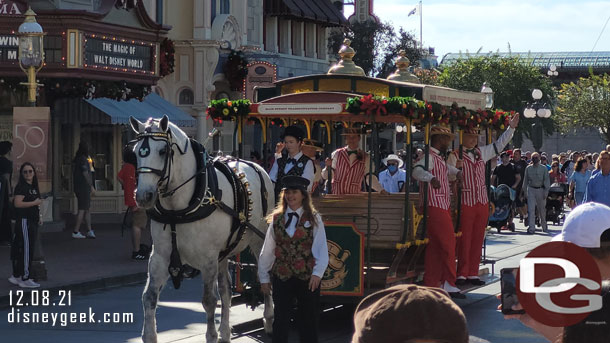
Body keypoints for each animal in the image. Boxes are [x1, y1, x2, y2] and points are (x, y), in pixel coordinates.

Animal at [131, 116, 276, 343]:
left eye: (163, 151)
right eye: (136, 151)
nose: (143, 196)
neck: (179, 210)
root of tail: (257, 167)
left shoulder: (208, 259)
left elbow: (209, 300)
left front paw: (211, 335)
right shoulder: (160, 256)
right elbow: (149, 297)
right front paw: (149, 335)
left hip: (260, 240)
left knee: (265, 276)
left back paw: (268, 320)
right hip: (224, 253)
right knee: (226, 290)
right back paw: (226, 331)